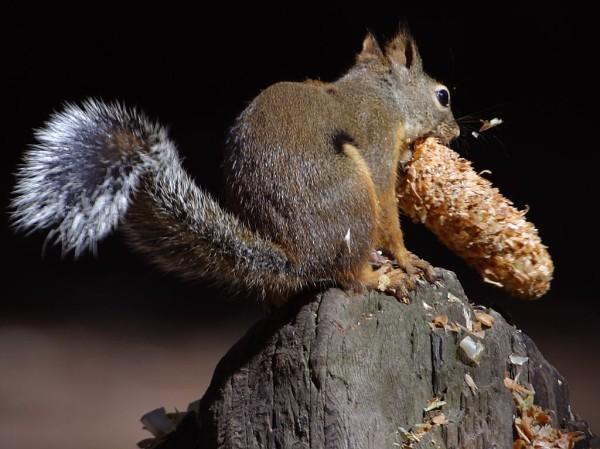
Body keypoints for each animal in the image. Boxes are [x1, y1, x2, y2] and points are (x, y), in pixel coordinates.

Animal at [9, 28, 460, 304]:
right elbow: (388, 211)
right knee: (350, 275)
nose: (456, 132)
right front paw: (408, 260)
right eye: (443, 95)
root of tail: (301, 260)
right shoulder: (377, 142)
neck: (381, 94)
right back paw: (382, 275)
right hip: (352, 197)